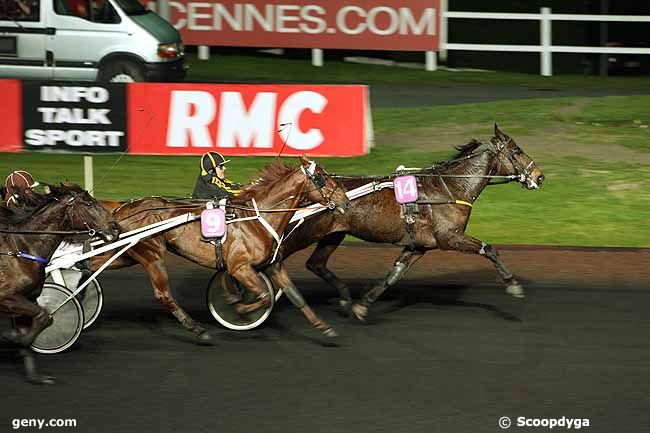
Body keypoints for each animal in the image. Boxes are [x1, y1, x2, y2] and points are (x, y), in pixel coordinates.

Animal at [0, 184, 119, 384]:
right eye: (88, 203)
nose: (115, 227)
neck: (21, 248)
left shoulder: (27, 297)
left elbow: (35, 323)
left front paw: (35, 376)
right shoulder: (6, 297)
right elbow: (44, 315)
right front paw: (10, 339)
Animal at [91, 157, 350, 342]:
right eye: (322, 178)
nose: (346, 202)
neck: (259, 217)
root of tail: (121, 208)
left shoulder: (273, 265)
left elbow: (296, 296)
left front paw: (324, 328)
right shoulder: (240, 267)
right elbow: (264, 296)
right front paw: (238, 307)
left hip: (127, 254)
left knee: (92, 265)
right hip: (151, 254)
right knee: (164, 294)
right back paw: (197, 329)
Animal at [276, 125, 544, 320]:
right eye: (517, 150)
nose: (539, 176)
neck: (451, 187)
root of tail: (303, 190)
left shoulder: (420, 245)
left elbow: (395, 274)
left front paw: (363, 305)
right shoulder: (449, 237)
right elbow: (489, 249)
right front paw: (512, 283)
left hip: (333, 234)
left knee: (315, 263)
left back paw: (343, 298)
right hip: (306, 232)